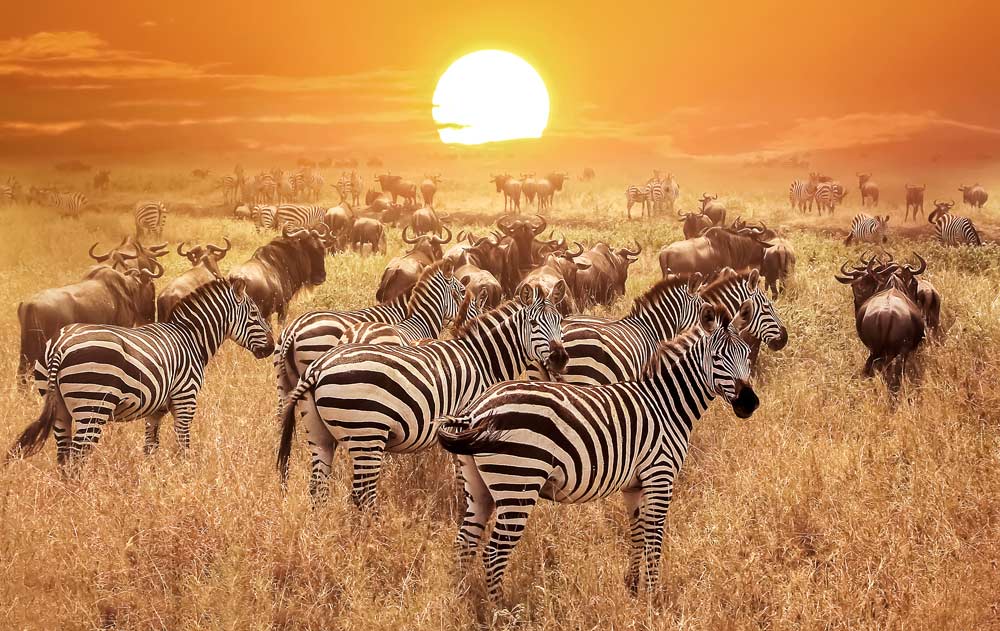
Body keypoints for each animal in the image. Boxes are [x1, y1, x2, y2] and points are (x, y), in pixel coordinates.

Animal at [6, 278, 274, 470]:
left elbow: (150, 447)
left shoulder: (155, 410)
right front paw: (185, 477)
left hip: (59, 407)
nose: (272, 348)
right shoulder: (186, 399)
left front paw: (152, 480)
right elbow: (183, 444)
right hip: (92, 406)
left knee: (63, 456)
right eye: (254, 314)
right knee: (77, 457)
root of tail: (60, 345)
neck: (191, 339)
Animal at [276, 284, 567, 508]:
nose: (560, 358)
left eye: (560, 322)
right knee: (362, 494)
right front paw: (462, 505)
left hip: (319, 433)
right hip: (367, 432)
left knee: (318, 486)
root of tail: (318, 368)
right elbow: (462, 475)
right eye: (533, 323)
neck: (481, 359)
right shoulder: (465, 424)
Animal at [437, 301, 758, 601]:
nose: (749, 403)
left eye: (747, 355)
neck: (666, 404)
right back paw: (501, 611)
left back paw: (464, 600)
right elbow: (654, 539)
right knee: (493, 553)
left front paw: (633, 587)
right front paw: (654, 596)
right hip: (518, 481)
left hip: (479, 487)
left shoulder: (633, 484)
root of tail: (476, 411)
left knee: (465, 542)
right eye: (717, 358)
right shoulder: (660, 475)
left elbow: (637, 534)